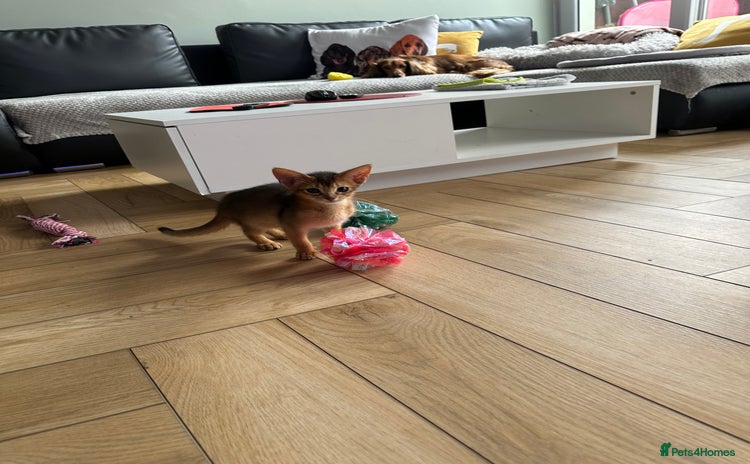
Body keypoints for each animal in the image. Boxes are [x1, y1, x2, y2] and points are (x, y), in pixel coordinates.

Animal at [158, 164, 372, 260]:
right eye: (313, 190)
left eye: (342, 189)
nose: (330, 197)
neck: (329, 210)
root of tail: (223, 204)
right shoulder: (291, 223)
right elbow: (301, 239)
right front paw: (306, 251)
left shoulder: (334, 222)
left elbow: (335, 231)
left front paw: (341, 239)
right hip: (254, 219)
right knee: (250, 232)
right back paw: (266, 242)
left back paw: (276, 234)